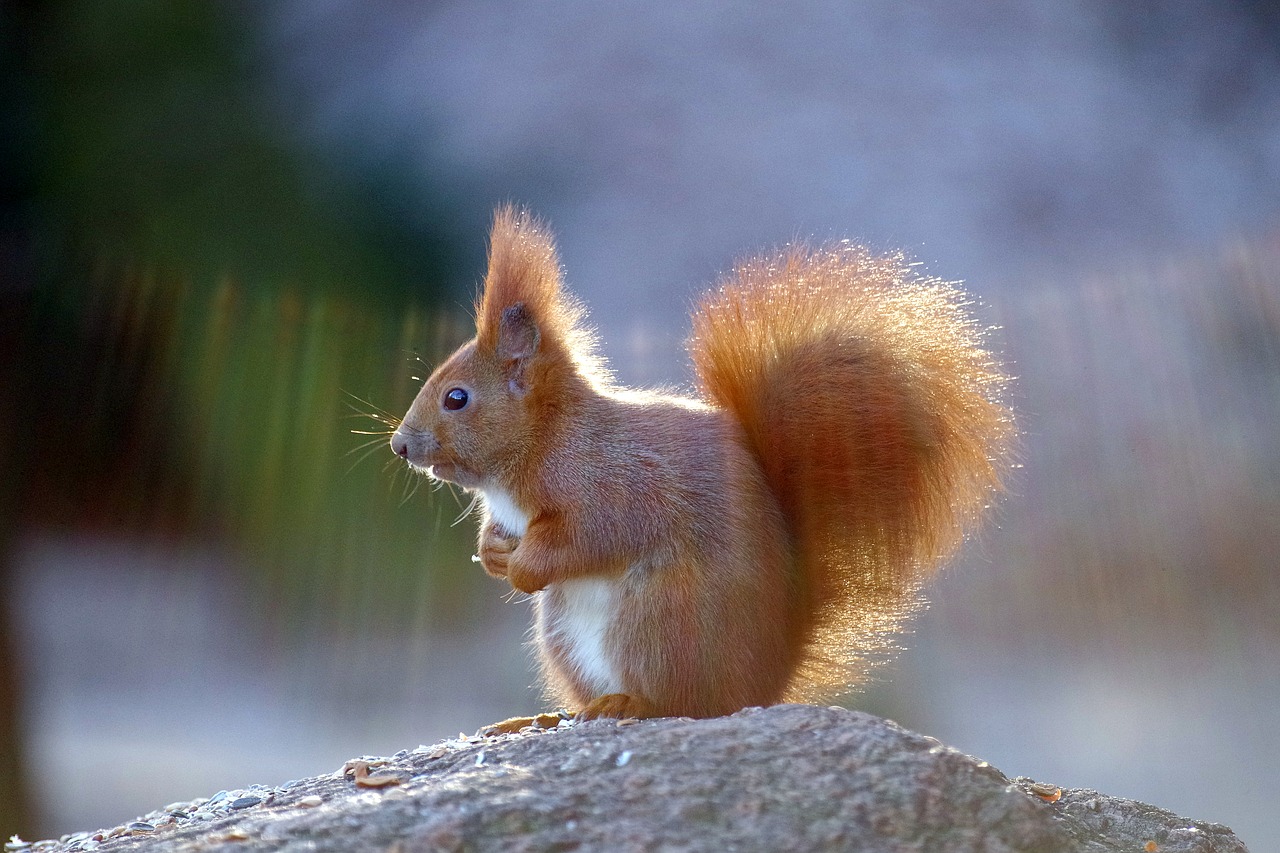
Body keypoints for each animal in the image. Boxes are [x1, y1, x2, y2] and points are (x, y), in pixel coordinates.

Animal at [386, 204, 1008, 717]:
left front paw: (522, 569)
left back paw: (629, 704)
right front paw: (494, 554)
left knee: (684, 703)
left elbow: (588, 536)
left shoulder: (613, 484)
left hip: (658, 620)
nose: (400, 445)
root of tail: (768, 681)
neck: (544, 444)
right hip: (565, 634)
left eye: (457, 398)